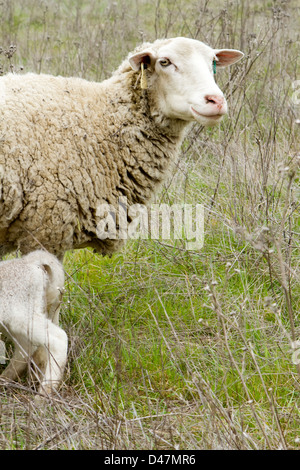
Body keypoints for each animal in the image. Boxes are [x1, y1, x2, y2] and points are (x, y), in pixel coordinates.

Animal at [0, 250, 67, 396]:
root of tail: (31, 263)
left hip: (21, 315)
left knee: (58, 338)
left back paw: (44, 395)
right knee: (26, 347)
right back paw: (4, 380)